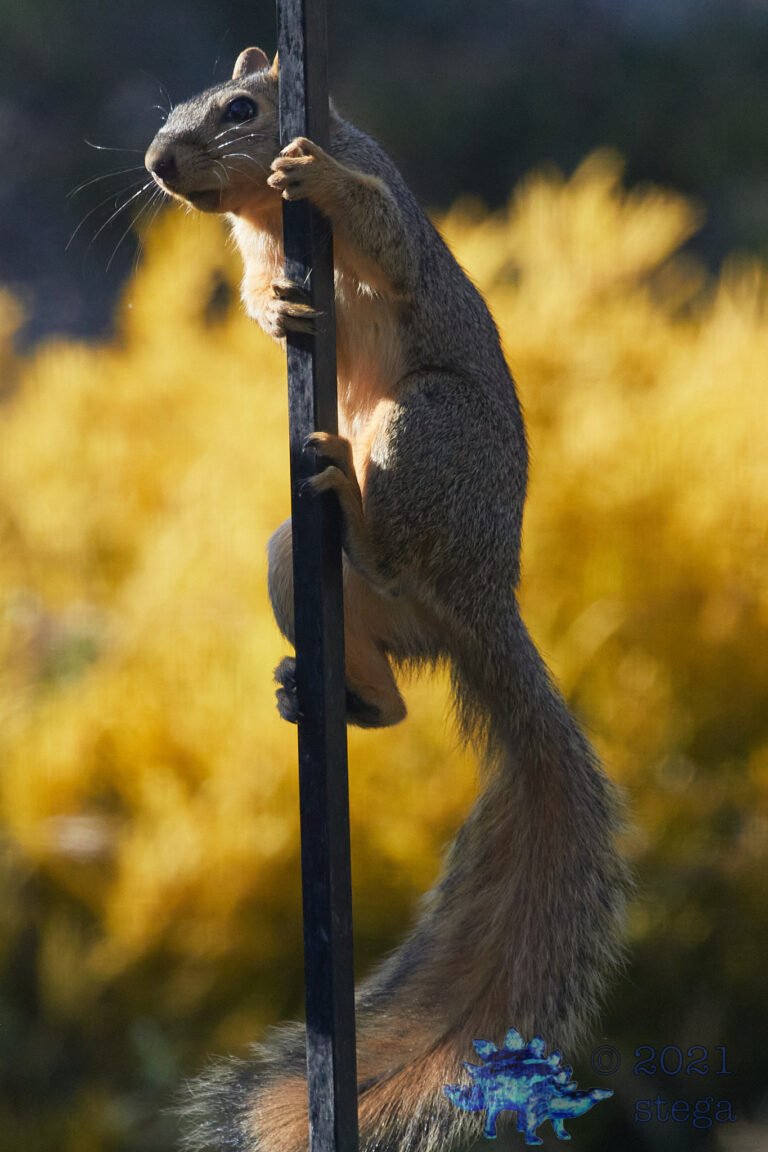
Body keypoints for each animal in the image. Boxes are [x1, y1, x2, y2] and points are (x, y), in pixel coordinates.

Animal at [145, 46, 630, 1152]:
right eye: (176, 108)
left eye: (240, 108)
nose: (158, 162)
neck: (262, 221)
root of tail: (484, 600)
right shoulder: (255, 257)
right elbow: (254, 292)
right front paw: (272, 309)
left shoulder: (391, 214)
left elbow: (391, 242)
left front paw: (317, 174)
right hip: (305, 559)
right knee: (394, 689)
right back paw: (338, 692)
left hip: (424, 430)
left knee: (399, 534)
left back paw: (357, 509)